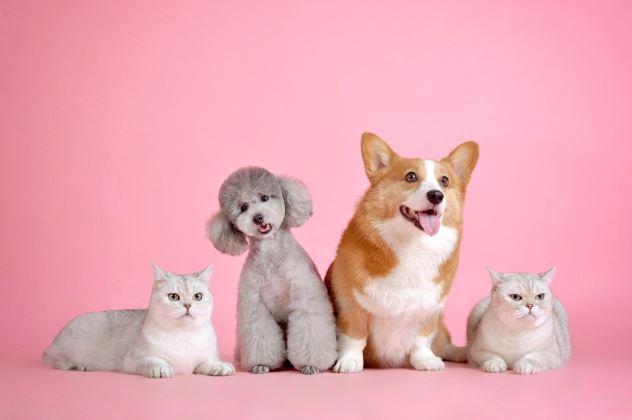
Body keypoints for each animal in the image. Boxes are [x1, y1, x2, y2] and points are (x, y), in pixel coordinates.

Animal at [43, 262, 235, 378]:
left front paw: (220, 367)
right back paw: (77, 366)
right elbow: (153, 361)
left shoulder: (203, 359)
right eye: (173, 297)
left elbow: (207, 363)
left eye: (198, 296)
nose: (188, 305)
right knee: (57, 362)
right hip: (67, 349)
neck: (184, 334)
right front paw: (162, 368)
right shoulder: (132, 360)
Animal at [326, 133, 478, 372]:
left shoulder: (430, 309)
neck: (413, 246)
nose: (436, 195)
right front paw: (349, 361)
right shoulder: (351, 303)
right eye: (411, 176)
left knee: (444, 344)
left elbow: (422, 339)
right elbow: (354, 337)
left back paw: (462, 353)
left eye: (444, 181)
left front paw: (425, 359)